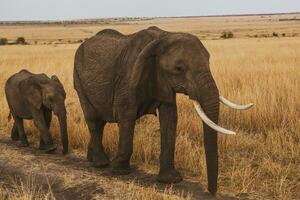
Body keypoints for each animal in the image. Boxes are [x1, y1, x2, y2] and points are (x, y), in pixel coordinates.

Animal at [73, 26, 253, 195]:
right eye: (179, 68)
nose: (211, 191)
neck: (165, 36)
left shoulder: (164, 81)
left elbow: (170, 117)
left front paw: (170, 180)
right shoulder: (127, 79)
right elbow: (126, 115)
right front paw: (120, 171)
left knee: (99, 123)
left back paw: (91, 158)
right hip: (78, 79)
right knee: (93, 120)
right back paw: (100, 163)